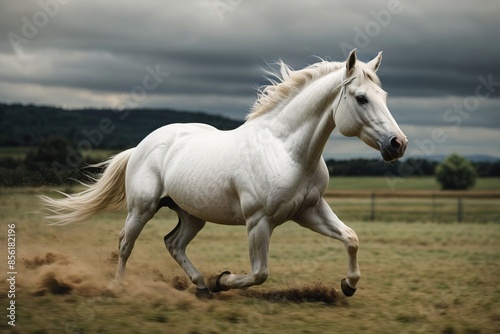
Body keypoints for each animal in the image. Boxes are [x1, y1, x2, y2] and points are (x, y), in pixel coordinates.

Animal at [39, 49, 406, 298]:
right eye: (361, 98)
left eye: (384, 96)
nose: (398, 143)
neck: (286, 150)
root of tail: (142, 146)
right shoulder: (259, 222)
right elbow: (259, 273)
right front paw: (224, 279)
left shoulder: (309, 210)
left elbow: (351, 238)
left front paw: (348, 285)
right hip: (142, 208)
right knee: (126, 243)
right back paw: (118, 286)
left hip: (191, 214)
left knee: (173, 243)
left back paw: (201, 285)